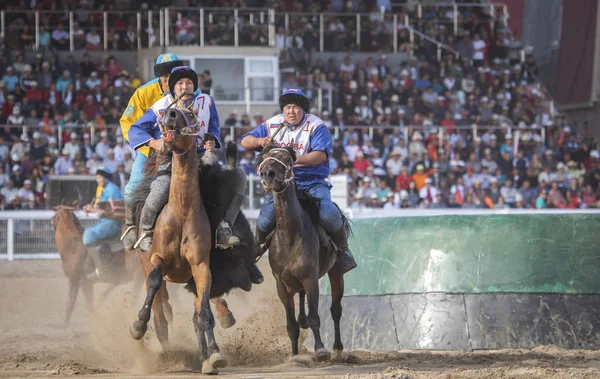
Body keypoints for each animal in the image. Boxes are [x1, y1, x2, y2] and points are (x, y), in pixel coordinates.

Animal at [126, 108, 227, 376]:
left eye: (191, 114)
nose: (170, 114)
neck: (181, 213)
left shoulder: (201, 267)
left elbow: (204, 313)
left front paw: (214, 355)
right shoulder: (157, 260)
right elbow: (154, 287)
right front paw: (137, 326)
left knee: (193, 314)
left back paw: (204, 356)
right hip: (146, 265)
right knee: (160, 313)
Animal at [256, 145, 346, 362]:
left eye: (288, 160)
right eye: (265, 157)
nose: (267, 174)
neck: (290, 235)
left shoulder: (310, 278)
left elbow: (315, 317)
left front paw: (320, 350)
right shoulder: (281, 284)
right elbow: (291, 325)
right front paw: (294, 355)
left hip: (336, 273)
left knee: (336, 310)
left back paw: (338, 349)